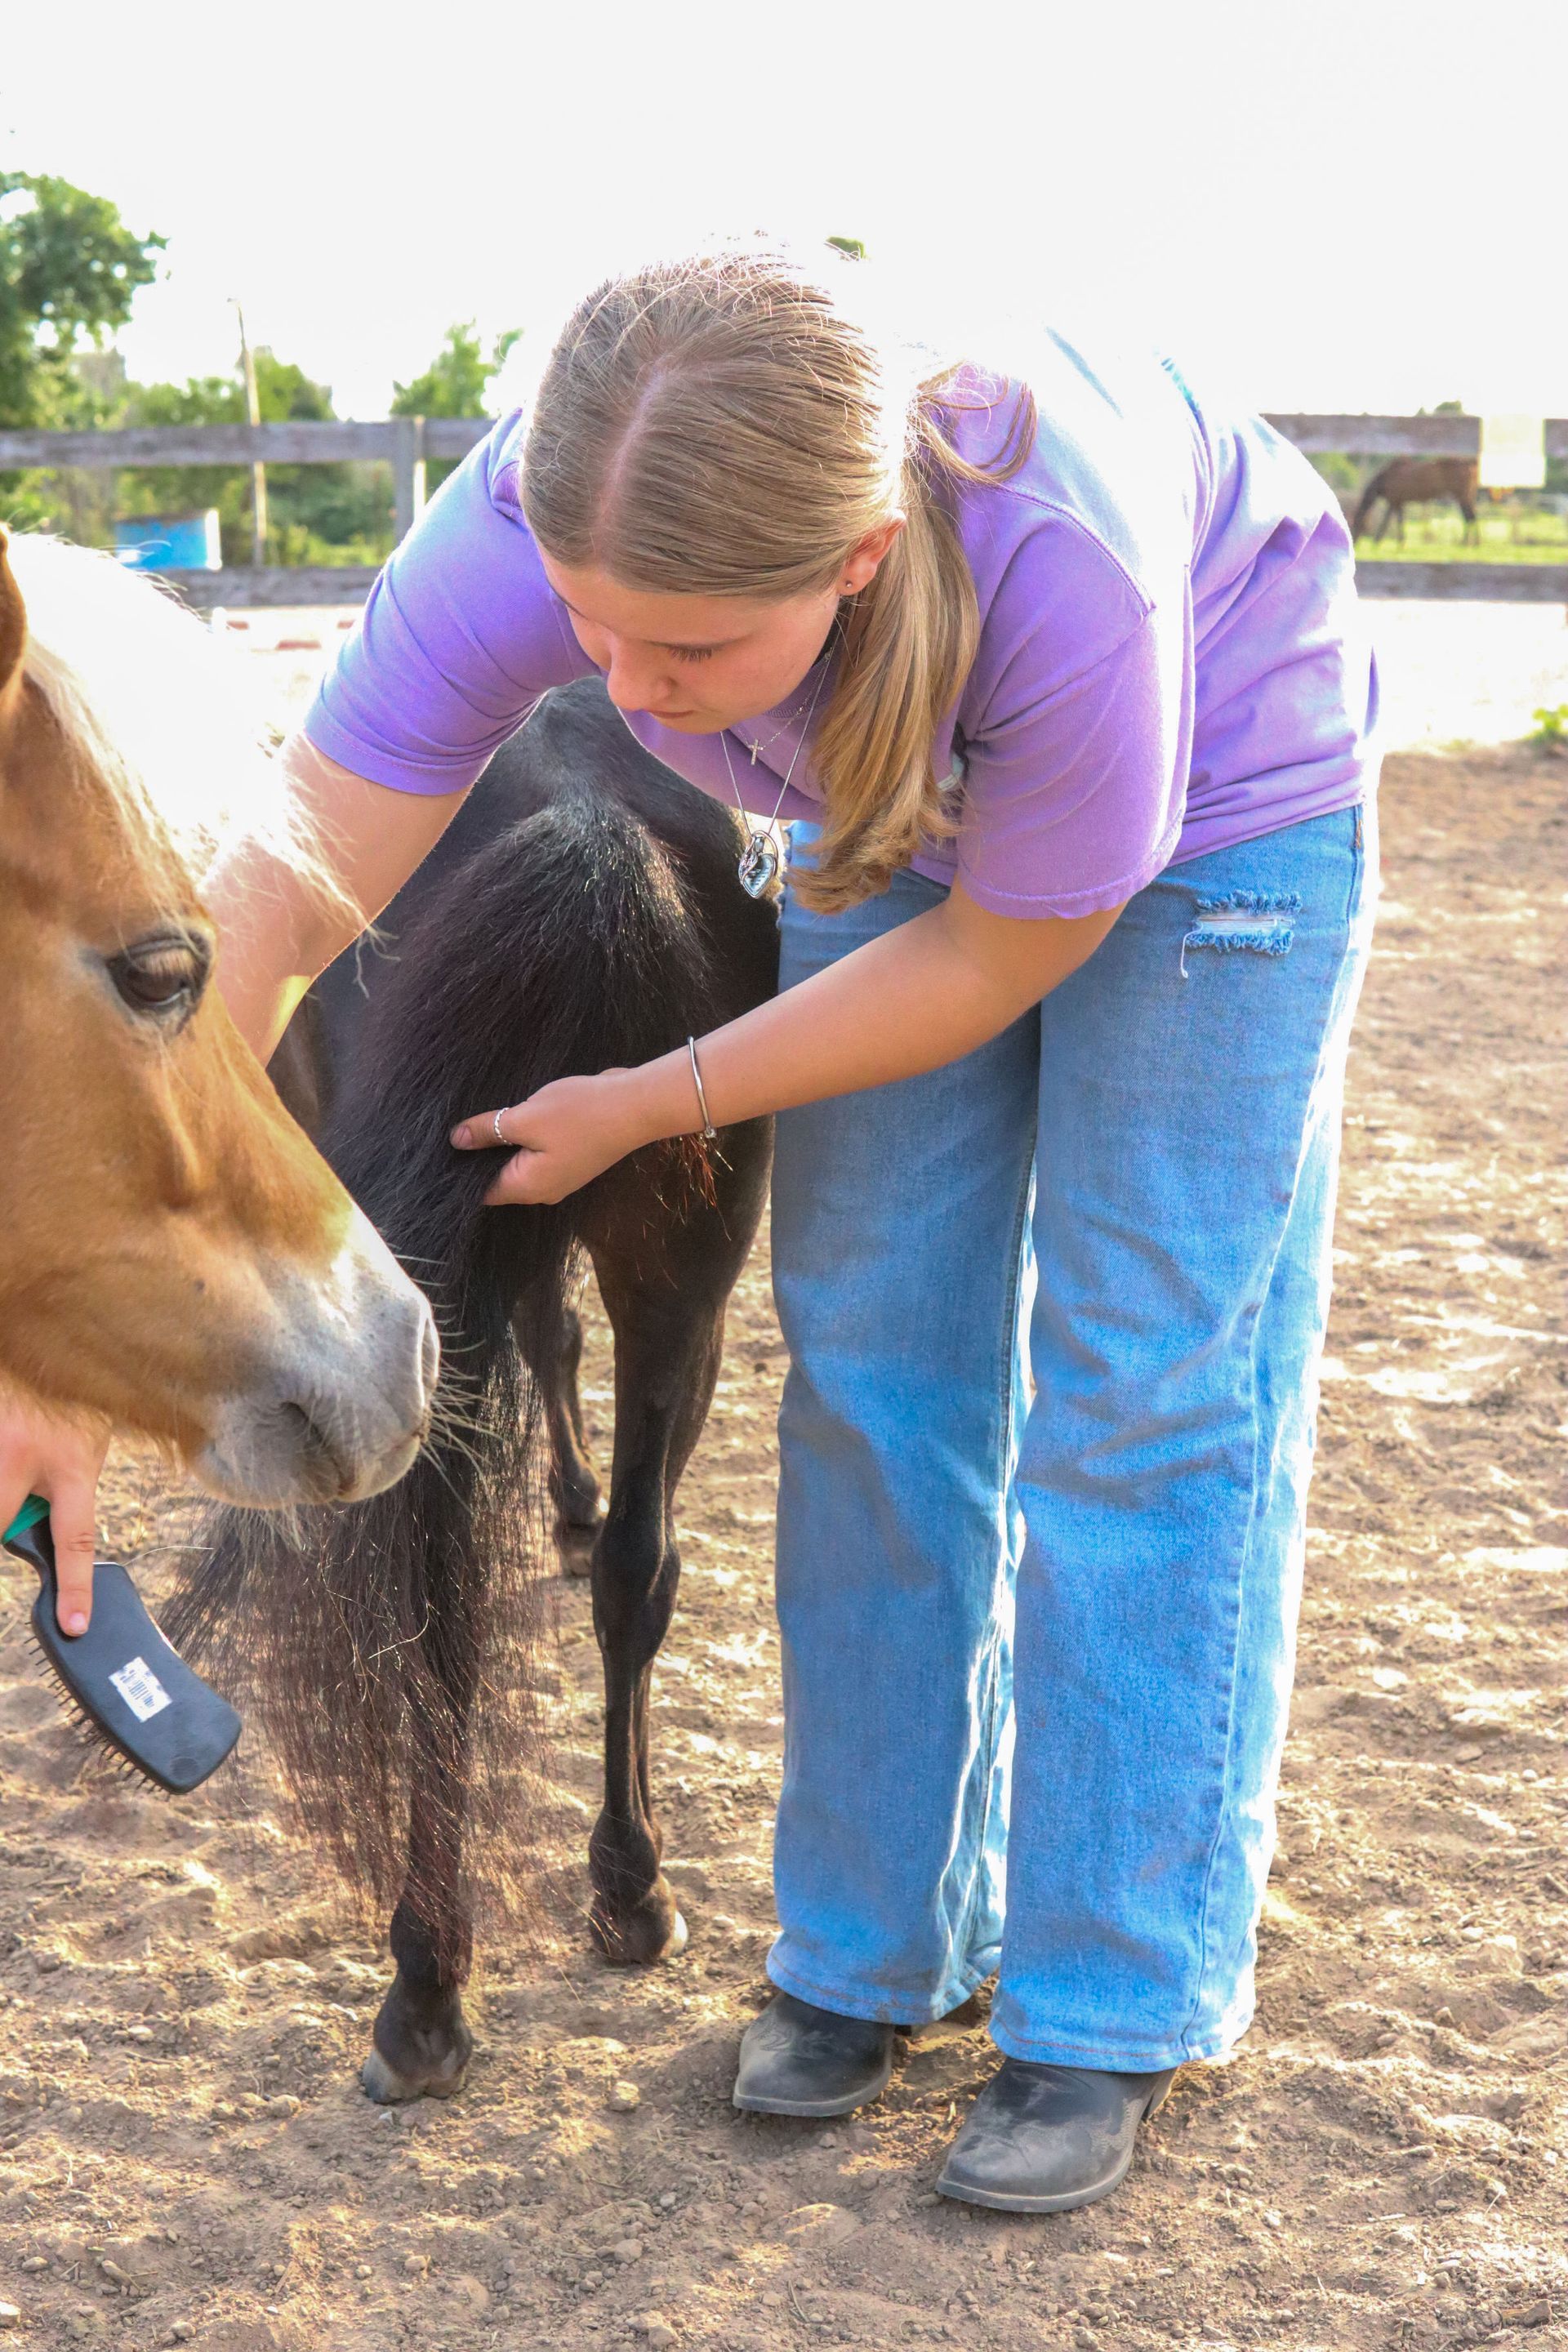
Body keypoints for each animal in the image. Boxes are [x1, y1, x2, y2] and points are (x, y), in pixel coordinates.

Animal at [167, 679, 779, 2103]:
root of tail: (583, 816)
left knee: (449, 1591)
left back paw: (440, 1975)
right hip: (684, 1265)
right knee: (621, 1572)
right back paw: (609, 1896)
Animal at [1350, 455, 1480, 543]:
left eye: (1356, 525)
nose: (1354, 543)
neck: (1386, 477)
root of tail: (1470, 464)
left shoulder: (1394, 502)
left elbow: (1387, 523)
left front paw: (1378, 543)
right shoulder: (1397, 503)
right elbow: (1394, 522)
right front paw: (1396, 543)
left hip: (1463, 497)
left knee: (1470, 517)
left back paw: (1467, 543)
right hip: (1466, 498)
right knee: (1470, 517)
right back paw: (1473, 543)